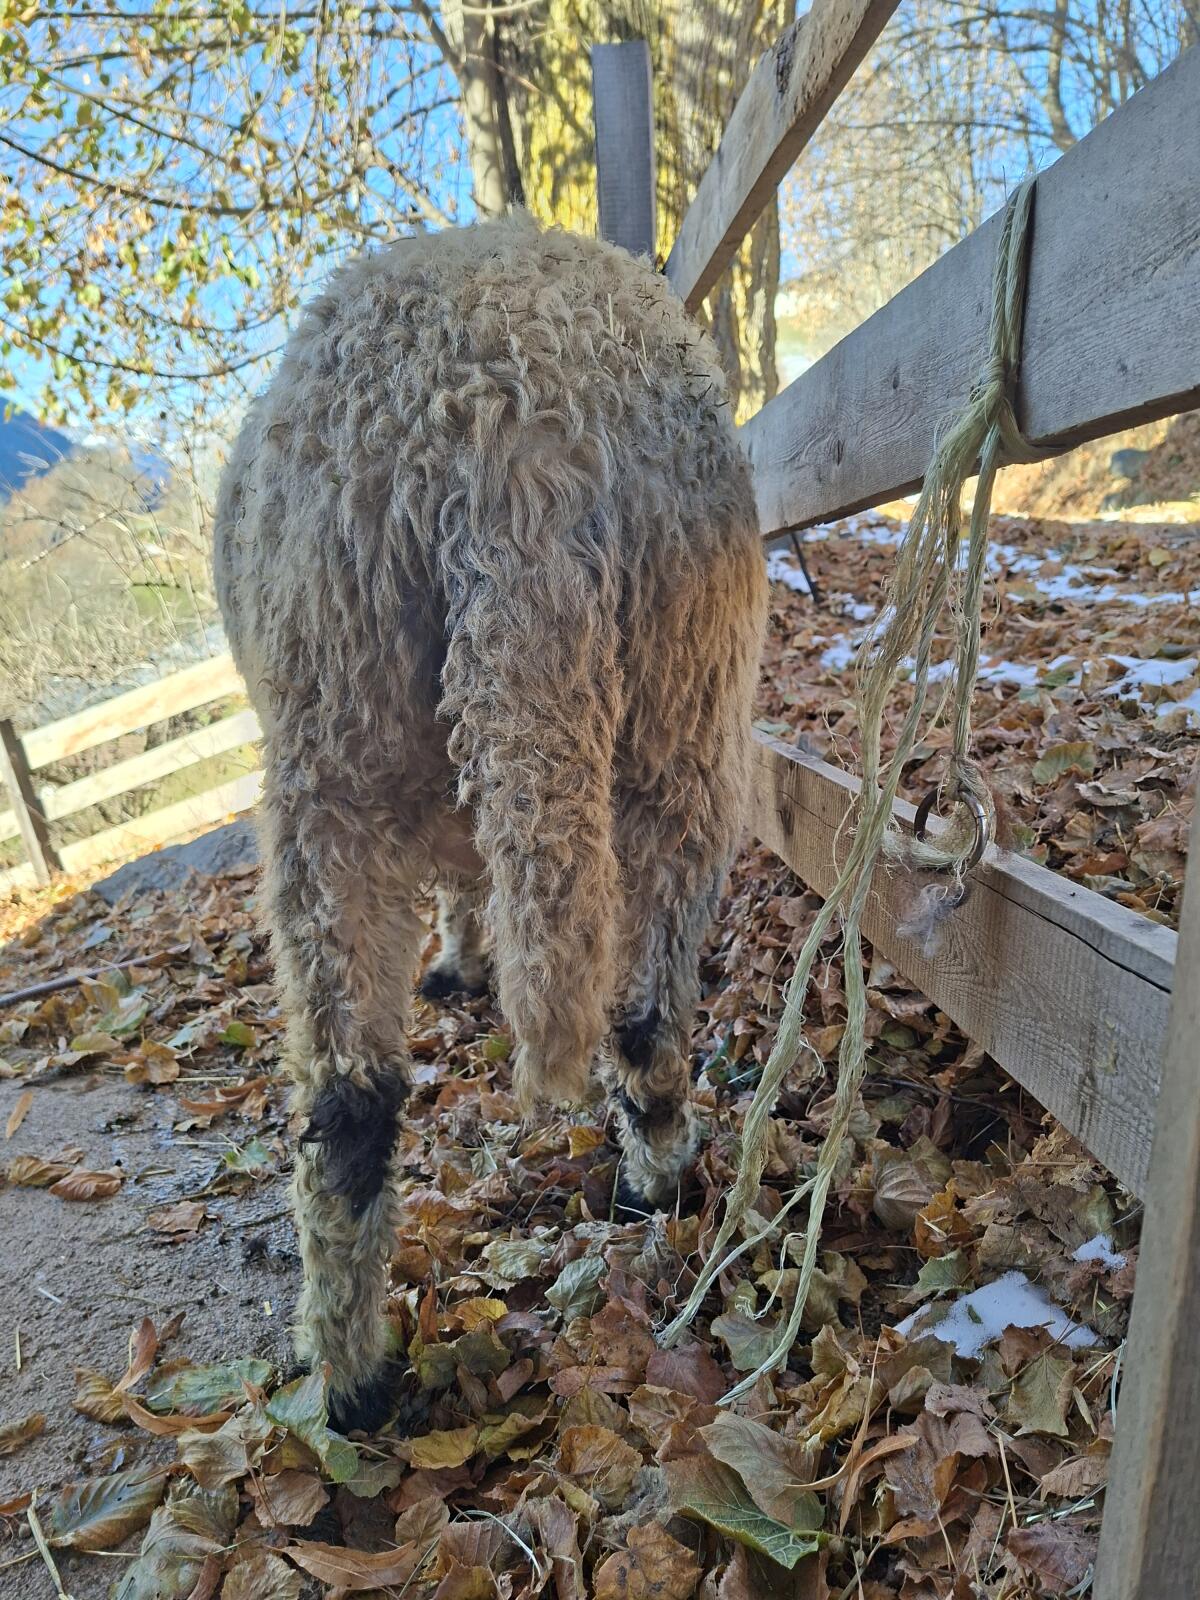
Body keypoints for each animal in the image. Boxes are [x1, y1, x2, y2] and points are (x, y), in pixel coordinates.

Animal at [213, 212, 767, 1431]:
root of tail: (506, 418)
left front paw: (456, 963)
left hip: (338, 747)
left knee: (349, 1106)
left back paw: (352, 1385)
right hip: (675, 704)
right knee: (636, 1008)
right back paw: (659, 1177)